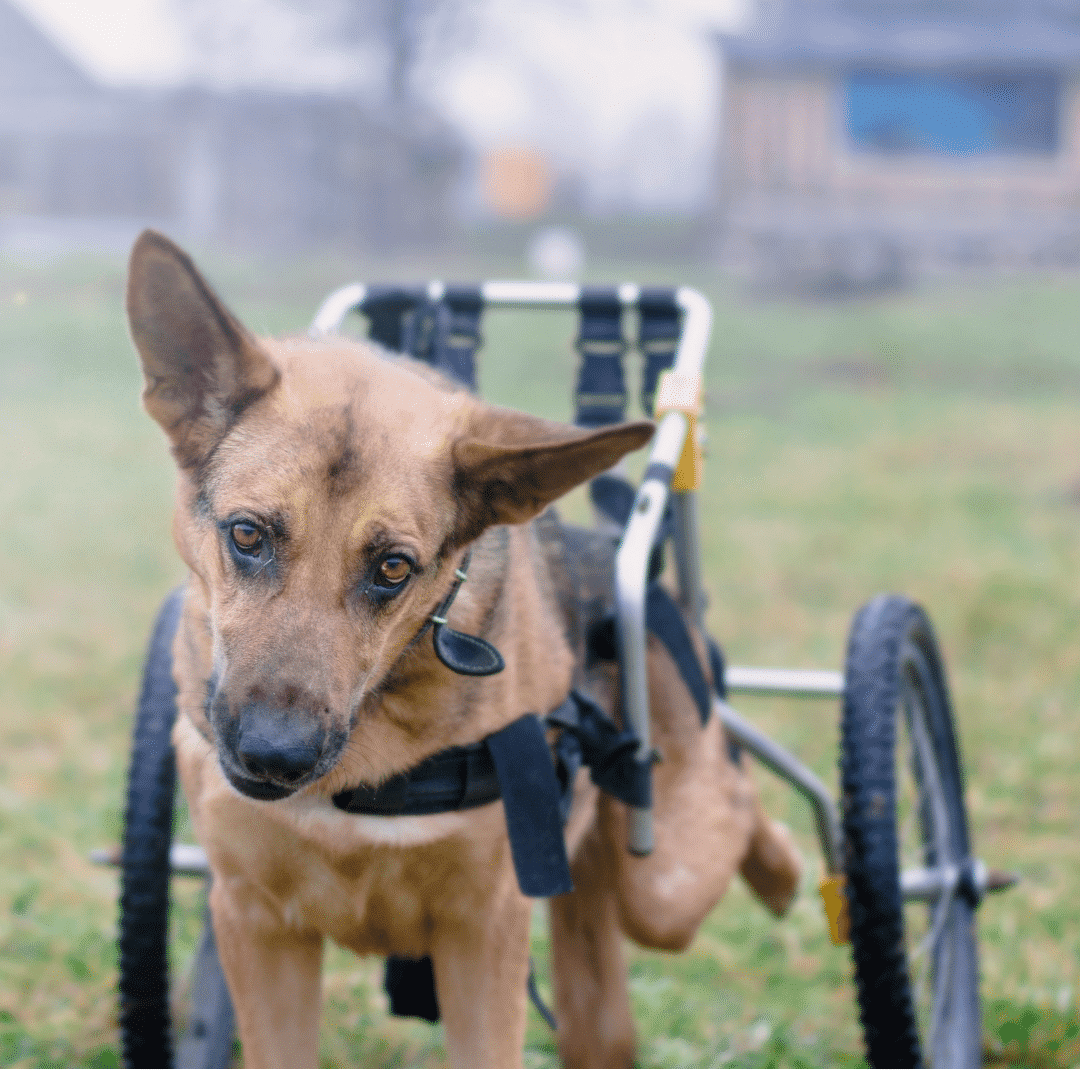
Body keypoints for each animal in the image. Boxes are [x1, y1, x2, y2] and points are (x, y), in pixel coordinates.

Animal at [128, 232, 803, 1067]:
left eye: (393, 568)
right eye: (247, 534)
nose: (273, 756)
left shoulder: (484, 932)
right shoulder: (256, 926)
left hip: (667, 877)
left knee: (740, 809)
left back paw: (787, 871)